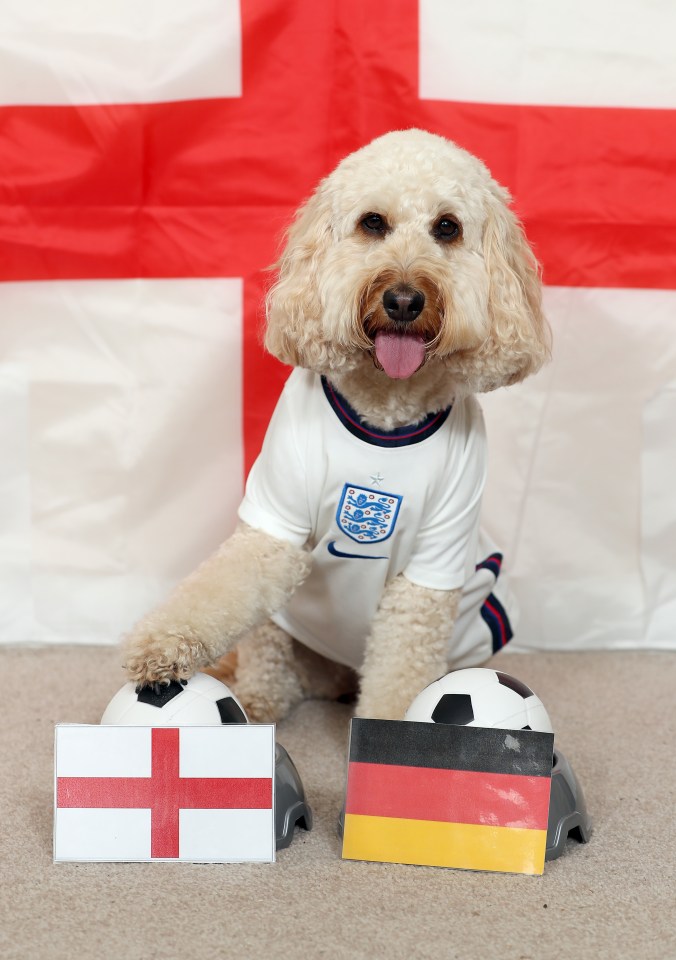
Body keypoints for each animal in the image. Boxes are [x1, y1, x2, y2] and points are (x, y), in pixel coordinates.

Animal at [123, 131, 548, 724]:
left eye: (447, 227)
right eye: (373, 222)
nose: (403, 299)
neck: (384, 413)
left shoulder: (433, 565)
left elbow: (399, 669)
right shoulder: (272, 524)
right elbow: (222, 585)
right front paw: (162, 643)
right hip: (281, 625)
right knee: (270, 662)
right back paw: (257, 701)